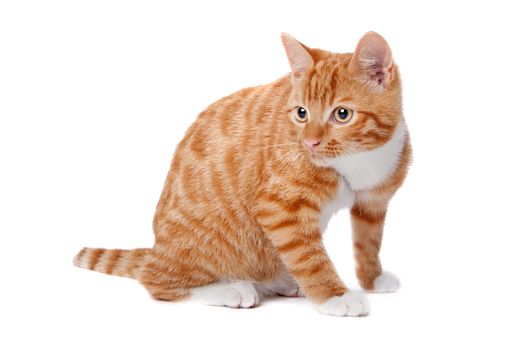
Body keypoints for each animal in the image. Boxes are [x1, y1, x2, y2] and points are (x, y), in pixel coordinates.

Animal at [73, 32, 410, 318]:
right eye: (301, 113)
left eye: (342, 114)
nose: (310, 143)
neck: (358, 158)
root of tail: (156, 250)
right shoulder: (279, 207)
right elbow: (308, 256)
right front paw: (334, 296)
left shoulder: (374, 202)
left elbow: (368, 242)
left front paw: (372, 277)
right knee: (158, 281)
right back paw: (230, 289)